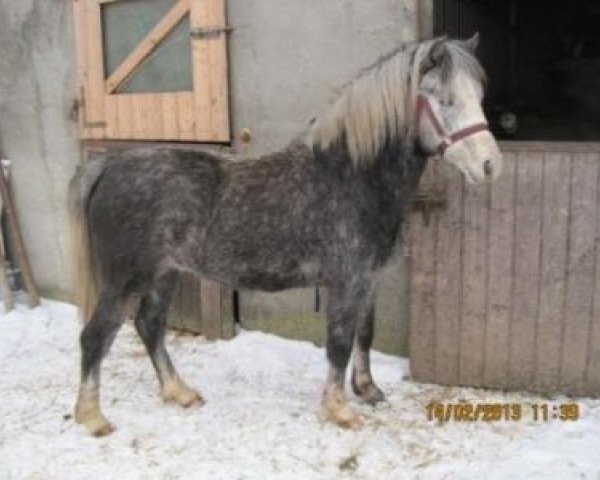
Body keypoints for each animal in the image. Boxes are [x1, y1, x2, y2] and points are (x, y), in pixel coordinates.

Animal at [70, 34, 502, 436]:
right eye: (444, 99)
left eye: (480, 97)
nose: (490, 165)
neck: (351, 176)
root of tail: (110, 165)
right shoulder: (347, 281)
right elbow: (340, 342)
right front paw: (339, 410)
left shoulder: (368, 280)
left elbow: (364, 333)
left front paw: (367, 390)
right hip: (123, 280)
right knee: (95, 336)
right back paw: (92, 417)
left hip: (164, 274)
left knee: (150, 326)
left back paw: (179, 392)